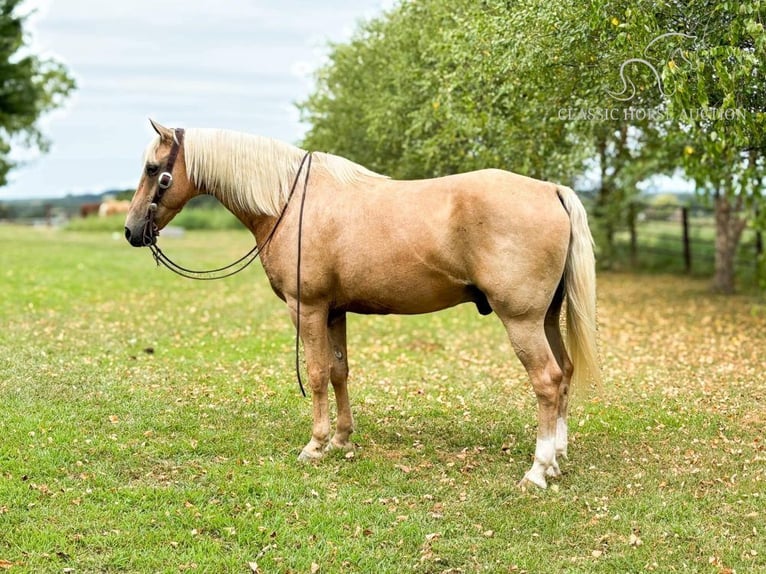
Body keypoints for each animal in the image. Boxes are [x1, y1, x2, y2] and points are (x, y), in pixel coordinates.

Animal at [126, 120, 604, 490]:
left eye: (153, 169)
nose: (132, 231)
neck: (288, 203)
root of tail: (551, 191)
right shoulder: (334, 311)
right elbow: (339, 372)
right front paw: (341, 439)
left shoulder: (307, 308)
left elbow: (316, 374)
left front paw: (316, 445)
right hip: (547, 318)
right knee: (564, 374)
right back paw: (557, 457)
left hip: (522, 320)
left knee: (547, 381)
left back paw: (538, 470)